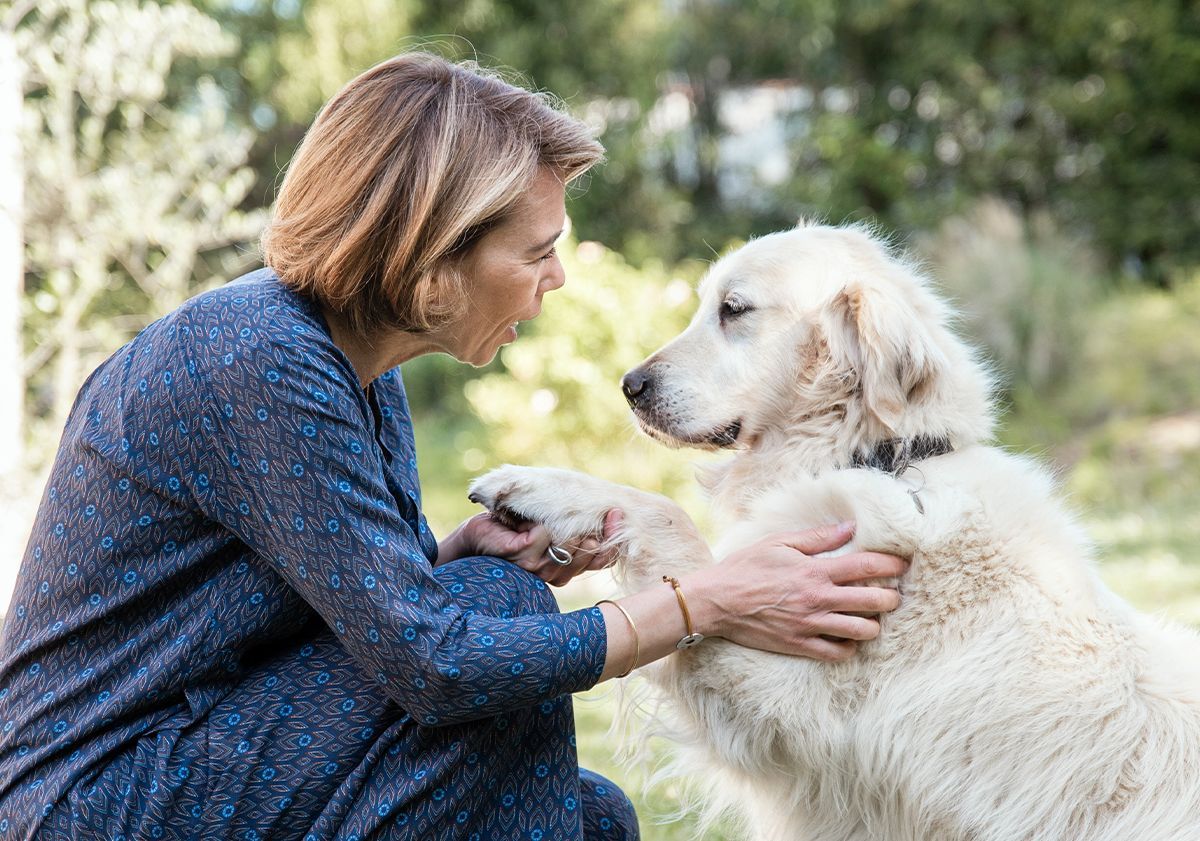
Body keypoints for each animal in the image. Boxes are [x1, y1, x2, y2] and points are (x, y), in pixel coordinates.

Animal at [465, 223, 1200, 839]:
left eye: (734, 309)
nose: (629, 386)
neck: (879, 457)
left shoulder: (784, 705)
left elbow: (667, 521)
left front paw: (538, 487)